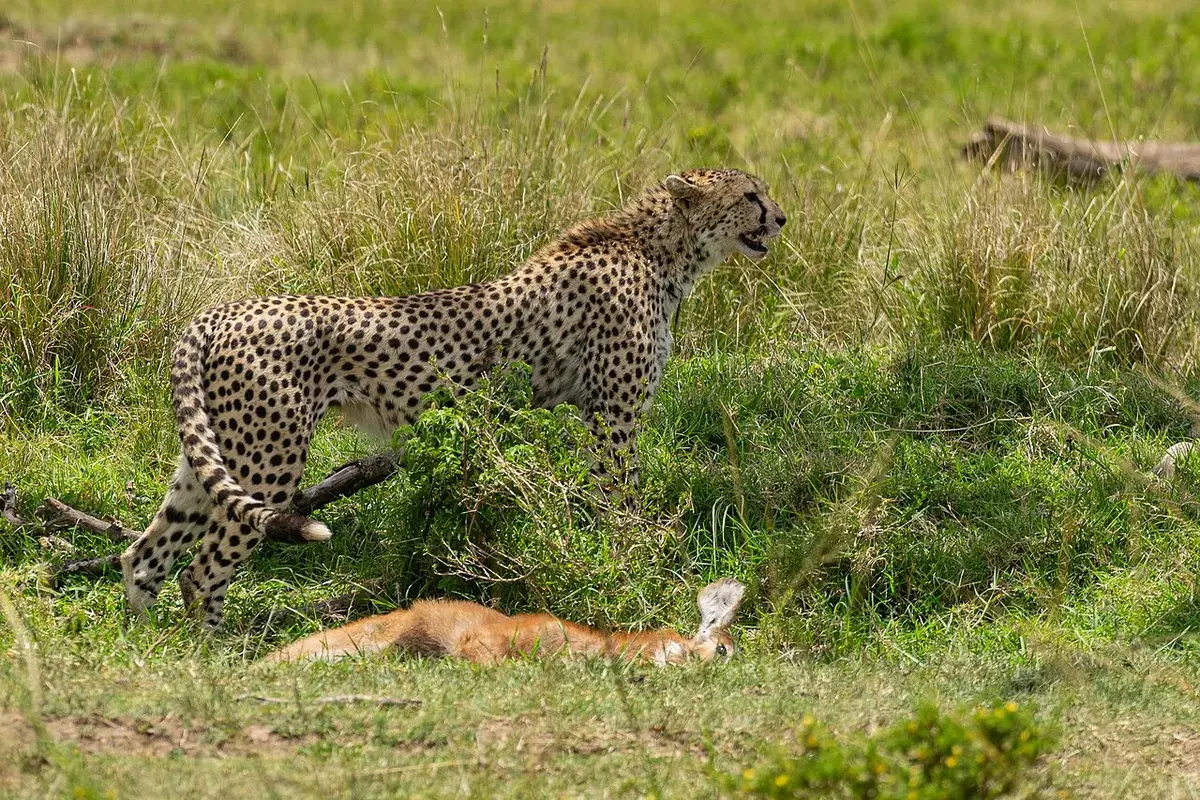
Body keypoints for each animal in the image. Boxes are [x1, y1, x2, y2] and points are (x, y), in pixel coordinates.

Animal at [120, 167, 787, 628]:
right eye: (750, 196)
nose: (780, 218)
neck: (660, 250)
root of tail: (219, 311)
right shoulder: (613, 418)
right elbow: (623, 504)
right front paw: (634, 564)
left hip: (217, 453)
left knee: (145, 554)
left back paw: (150, 650)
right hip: (269, 459)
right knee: (202, 568)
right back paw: (212, 655)